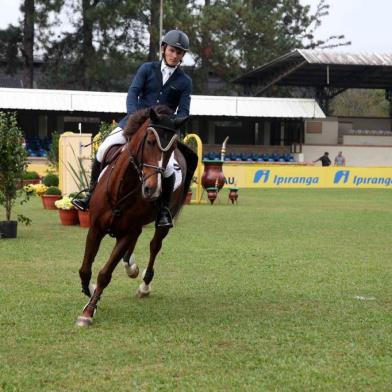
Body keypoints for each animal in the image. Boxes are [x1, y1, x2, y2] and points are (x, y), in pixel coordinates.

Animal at [76, 105, 198, 326]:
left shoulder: (126, 233)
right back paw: (130, 265)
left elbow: (105, 274)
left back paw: (144, 285)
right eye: (149, 142)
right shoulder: (96, 229)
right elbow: (85, 269)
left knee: (154, 246)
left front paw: (89, 311)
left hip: (158, 224)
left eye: (171, 148)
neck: (122, 188)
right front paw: (89, 292)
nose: (152, 190)